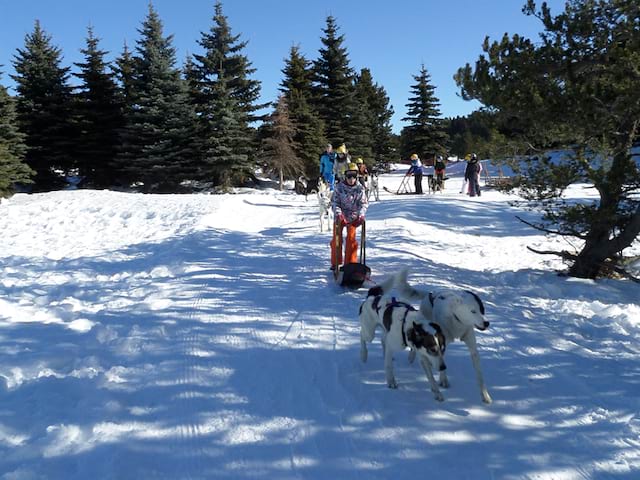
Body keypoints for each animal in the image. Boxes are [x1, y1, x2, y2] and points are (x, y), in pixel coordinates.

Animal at [358, 274, 448, 402]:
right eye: (433, 349)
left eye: (443, 349)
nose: (443, 367)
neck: (410, 326)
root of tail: (372, 297)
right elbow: (388, 366)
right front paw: (391, 381)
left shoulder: (422, 355)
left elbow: (431, 377)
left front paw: (437, 392)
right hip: (369, 332)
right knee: (362, 335)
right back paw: (364, 354)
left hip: (385, 330)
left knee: (383, 340)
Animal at [392, 268, 492, 404]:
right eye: (473, 311)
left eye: (482, 310)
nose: (487, 323)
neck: (457, 322)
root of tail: (430, 294)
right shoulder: (441, 342)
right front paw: (443, 380)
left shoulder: (472, 347)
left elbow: (479, 374)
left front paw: (485, 395)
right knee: (416, 345)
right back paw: (413, 356)